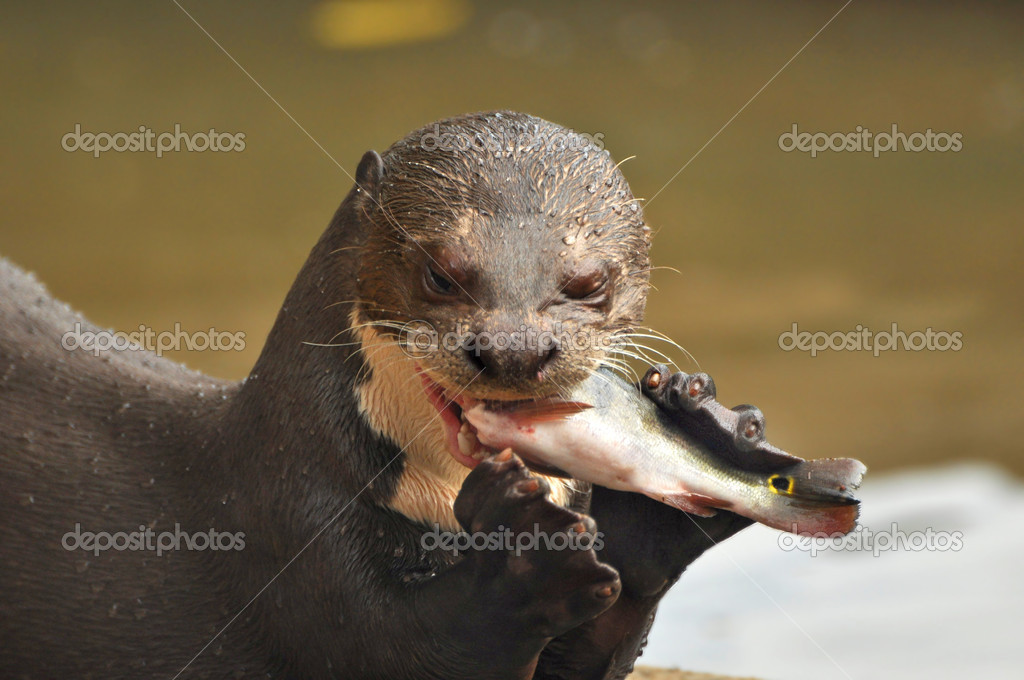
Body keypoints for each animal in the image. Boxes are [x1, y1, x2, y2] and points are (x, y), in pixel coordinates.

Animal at [0, 111, 753, 679]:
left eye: (590, 282)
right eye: (441, 274)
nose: (514, 350)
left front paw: (683, 457)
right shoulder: (292, 530)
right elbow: (404, 651)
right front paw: (519, 552)